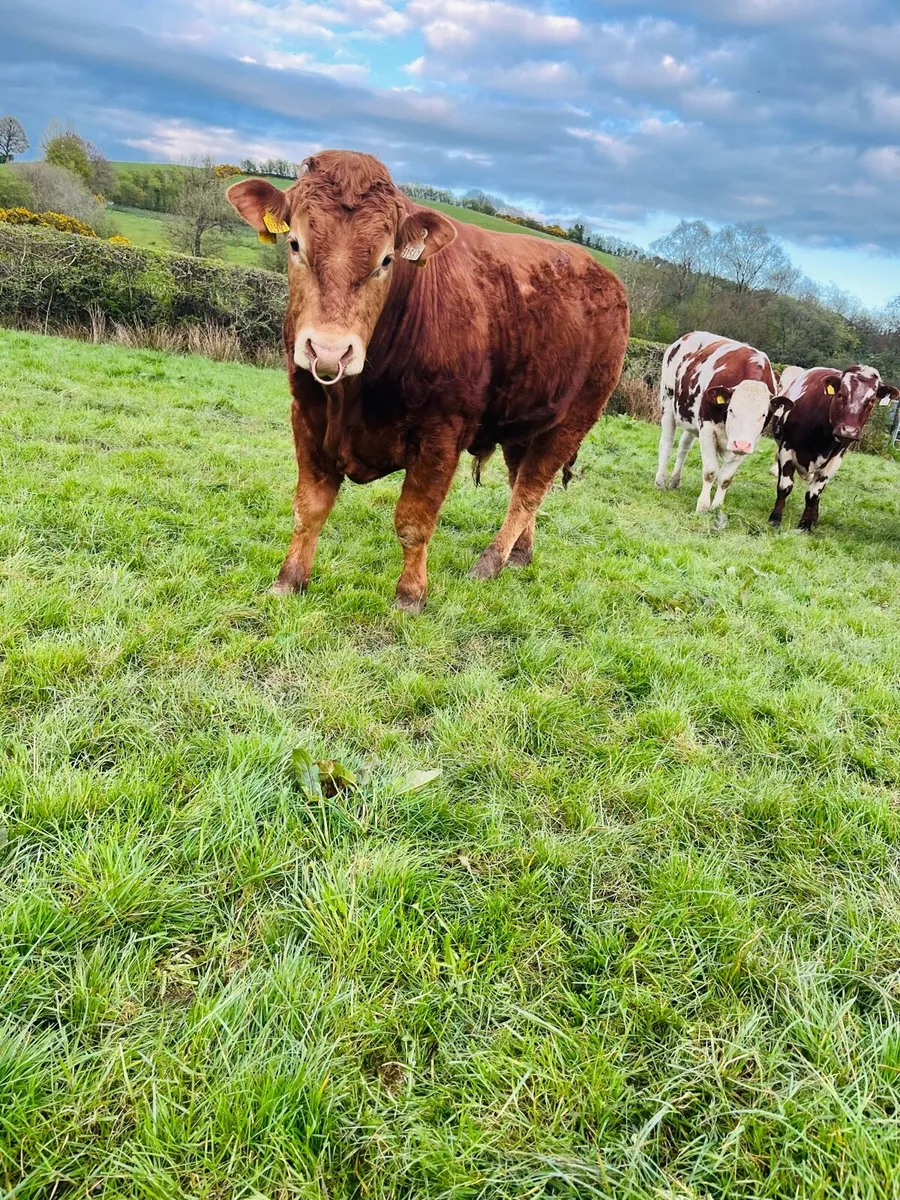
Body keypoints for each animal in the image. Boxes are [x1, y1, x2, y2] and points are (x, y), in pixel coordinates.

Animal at [226, 151, 629, 612]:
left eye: (387, 259)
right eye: (295, 244)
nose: (329, 351)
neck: (354, 396)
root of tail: (604, 275)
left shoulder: (441, 434)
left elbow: (413, 521)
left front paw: (410, 594)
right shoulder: (307, 414)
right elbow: (309, 507)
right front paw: (289, 580)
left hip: (575, 418)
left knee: (530, 489)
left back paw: (491, 561)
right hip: (528, 419)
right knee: (521, 483)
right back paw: (519, 554)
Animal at [655, 331, 777, 512]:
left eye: (763, 415)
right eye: (731, 410)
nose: (741, 444)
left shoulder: (751, 442)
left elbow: (725, 478)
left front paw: (717, 506)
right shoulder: (707, 429)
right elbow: (710, 471)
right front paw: (703, 506)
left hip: (692, 420)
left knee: (683, 447)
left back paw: (675, 480)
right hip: (668, 401)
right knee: (666, 445)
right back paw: (660, 482)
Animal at [768, 365, 899, 530]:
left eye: (870, 401)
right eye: (841, 395)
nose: (849, 430)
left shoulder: (835, 460)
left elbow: (813, 495)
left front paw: (806, 525)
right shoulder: (786, 449)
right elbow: (785, 487)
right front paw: (775, 519)